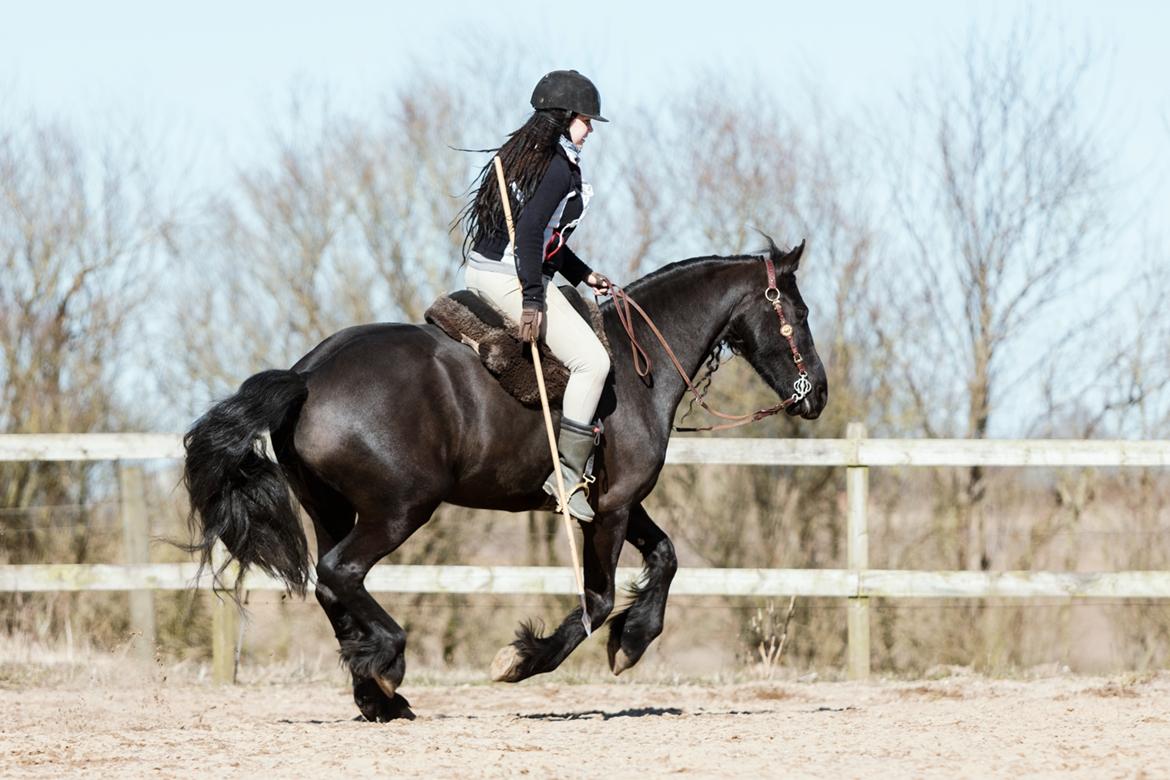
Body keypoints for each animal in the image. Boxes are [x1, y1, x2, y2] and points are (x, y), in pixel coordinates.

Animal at [184, 236, 823, 720]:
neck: (637, 364)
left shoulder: (612, 503)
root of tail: (308, 374)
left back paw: (377, 695)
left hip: (331, 509)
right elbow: (598, 598)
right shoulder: (613, 506)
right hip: (400, 510)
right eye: (799, 315)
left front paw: (632, 640)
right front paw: (524, 659)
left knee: (328, 584)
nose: (816, 393)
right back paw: (388, 664)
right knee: (341, 573)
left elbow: (664, 557)